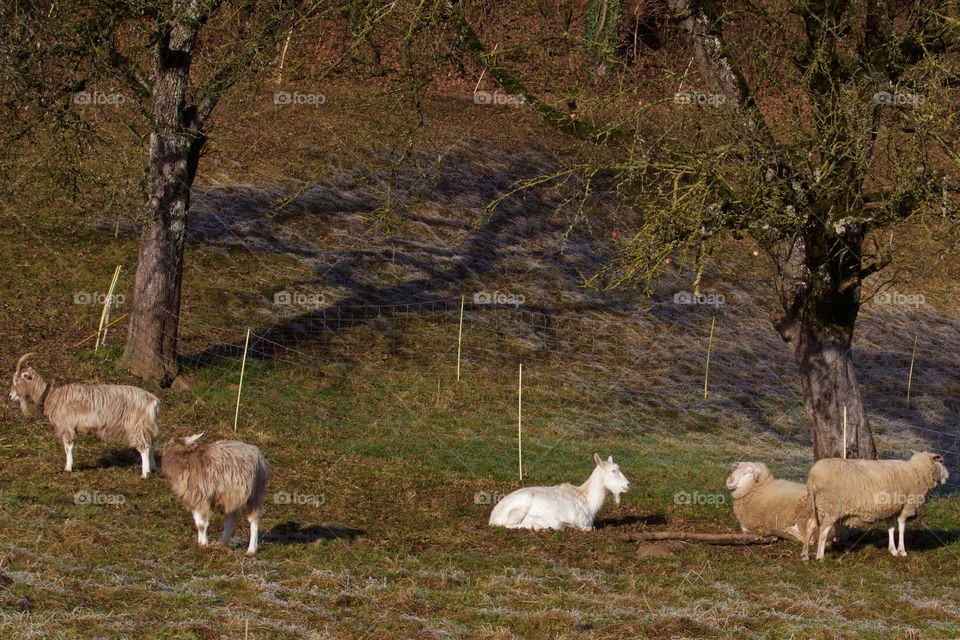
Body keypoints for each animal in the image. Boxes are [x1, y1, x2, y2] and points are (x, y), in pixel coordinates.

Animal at [8, 352, 159, 478]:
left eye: (16, 380)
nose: (10, 396)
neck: (50, 396)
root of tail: (153, 400)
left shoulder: (67, 426)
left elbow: (68, 447)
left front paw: (68, 467)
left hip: (137, 425)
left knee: (145, 447)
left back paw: (145, 473)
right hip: (146, 425)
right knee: (151, 444)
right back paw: (153, 468)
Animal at [488, 456, 632, 528]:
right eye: (613, 471)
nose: (628, 485)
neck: (587, 500)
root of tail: (493, 518)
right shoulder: (584, 524)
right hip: (520, 507)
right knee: (510, 525)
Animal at [800, 450, 948, 560]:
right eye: (941, 461)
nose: (948, 476)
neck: (917, 471)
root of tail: (813, 477)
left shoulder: (891, 510)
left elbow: (891, 528)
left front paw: (893, 550)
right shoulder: (906, 507)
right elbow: (901, 527)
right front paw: (902, 551)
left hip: (818, 506)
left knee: (810, 525)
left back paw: (805, 554)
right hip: (831, 506)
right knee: (824, 530)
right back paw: (820, 556)